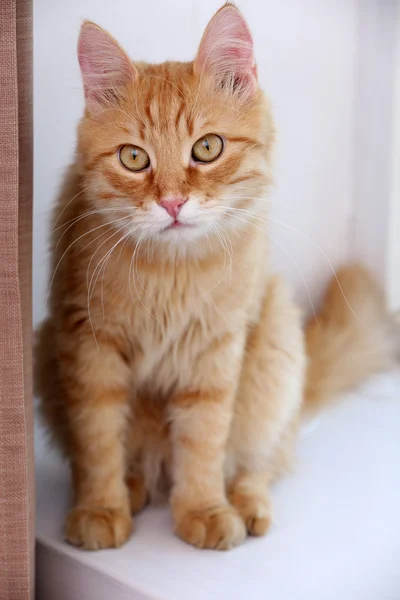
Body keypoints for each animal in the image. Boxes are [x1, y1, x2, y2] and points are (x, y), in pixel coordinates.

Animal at [34, 2, 396, 552]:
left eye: (207, 148)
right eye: (134, 158)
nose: (172, 202)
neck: (170, 272)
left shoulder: (216, 352)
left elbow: (205, 443)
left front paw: (204, 510)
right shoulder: (90, 345)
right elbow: (97, 442)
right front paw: (100, 508)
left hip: (275, 342)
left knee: (259, 462)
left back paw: (245, 505)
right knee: (137, 460)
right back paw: (134, 488)